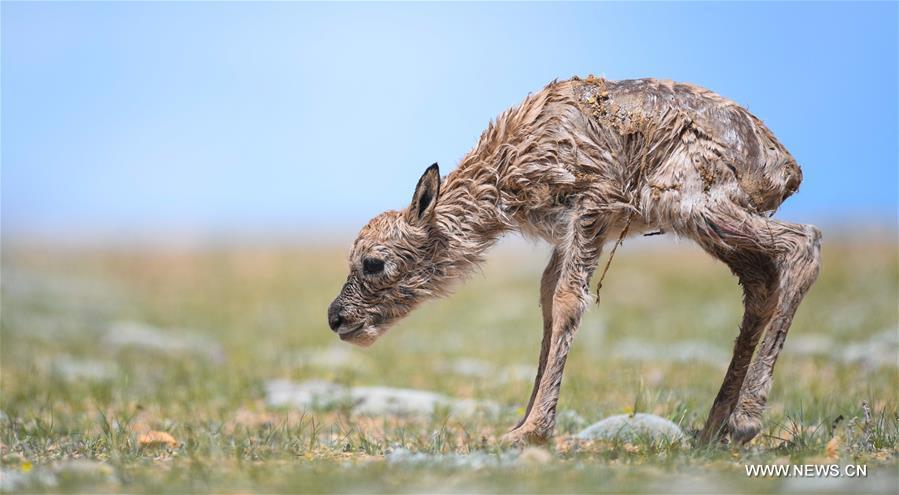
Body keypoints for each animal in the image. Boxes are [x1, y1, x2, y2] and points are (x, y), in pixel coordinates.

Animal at [326, 76, 824, 446]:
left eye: (373, 263)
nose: (335, 318)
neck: (507, 163)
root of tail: (786, 167)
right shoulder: (574, 232)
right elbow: (548, 302)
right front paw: (519, 423)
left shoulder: (593, 207)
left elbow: (568, 300)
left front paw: (532, 431)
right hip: (708, 226)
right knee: (761, 285)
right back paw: (712, 428)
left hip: (693, 207)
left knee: (804, 243)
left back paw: (745, 421)